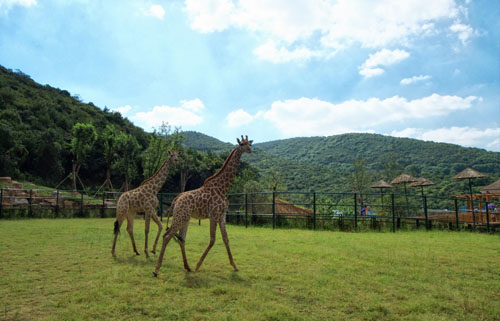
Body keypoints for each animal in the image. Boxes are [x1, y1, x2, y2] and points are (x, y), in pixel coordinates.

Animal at [153, 135, 254, 276]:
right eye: (242, 144)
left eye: (249, 143)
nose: (250, 149)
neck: (223, 188)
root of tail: (176, 200)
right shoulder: (214, 214)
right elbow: (212, 239)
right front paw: (198, 265)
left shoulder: (222, 215)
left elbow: (226, 238)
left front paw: (235, 266)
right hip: (181, 216)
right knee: (167, 235)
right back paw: (156, 269)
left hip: (185, 218)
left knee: (181, 238)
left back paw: (187, 267)